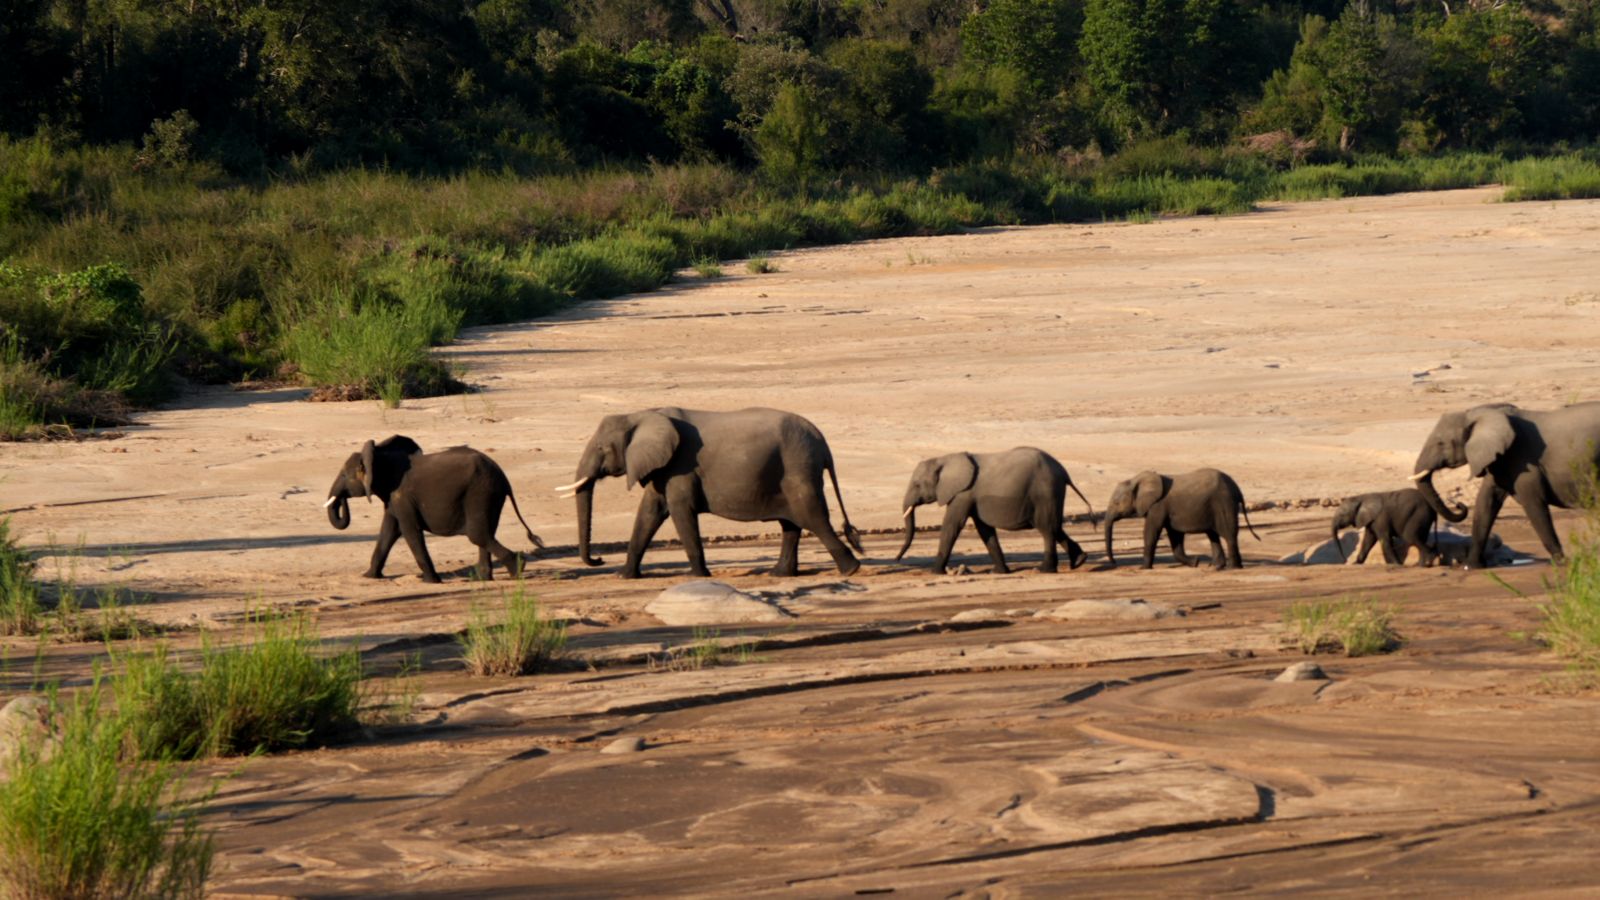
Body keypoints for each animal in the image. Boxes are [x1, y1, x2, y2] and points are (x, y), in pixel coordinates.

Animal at [324, 435, 544, 583]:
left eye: (344, 475)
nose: (341, 500)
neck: (379, 454)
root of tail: (504, 478)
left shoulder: (402, 496)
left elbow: (409, 531)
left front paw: (430, 581)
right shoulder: (394, 497)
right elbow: (389, 531)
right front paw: (369, 576)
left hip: (481, 491)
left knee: (478, 534)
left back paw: (517, 571)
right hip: (490, 495)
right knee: (486, 533)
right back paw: (482, 579)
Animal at [560, 407, 863, 579]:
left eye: (601, 448)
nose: (599, 560)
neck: (640, 414)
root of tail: (822, 441)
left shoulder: (681, 465)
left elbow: (680, 511)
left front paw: (699, 576)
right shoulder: (662, 467)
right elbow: (649, 513)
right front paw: (624, 577)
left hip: (798, 467)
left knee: (812, 517)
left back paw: (850, 570)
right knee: (791, 523)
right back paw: (779, 575)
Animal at [893, 447, 1092, 574]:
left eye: (917, 485)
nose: (897, 559)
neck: (945, 459)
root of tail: (1064, 473)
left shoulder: (963, 493)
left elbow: (952, 525)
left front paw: (934, 572)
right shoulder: (970, 496)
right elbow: (984, 529)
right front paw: (999, 572)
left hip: (1045, 492)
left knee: (1047, 529)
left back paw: (1044, 570)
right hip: (1051, 494)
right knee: (1055, 527)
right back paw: (1079, 561)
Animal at [1102, 468, 1260, 569]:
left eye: (1116, 503)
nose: (1114, 563)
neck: (1135, 480)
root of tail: (1237, 489)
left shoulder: (1157, 506)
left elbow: (1151, 532)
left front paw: (1143, 568)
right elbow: (1175, 535)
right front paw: (1195, 562)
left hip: (1224, 504)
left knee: (1228, 535)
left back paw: (1232, 568)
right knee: (1213, 535)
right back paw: (1216, 567)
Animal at [1411, 402, 1600, 568]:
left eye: (1441, 443)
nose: (1459, 504)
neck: (1477, 412)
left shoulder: (1524, 461)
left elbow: (1534, 505)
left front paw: (1560, 563)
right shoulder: (1498, 459)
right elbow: (1485, 504)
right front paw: (1471, 566)